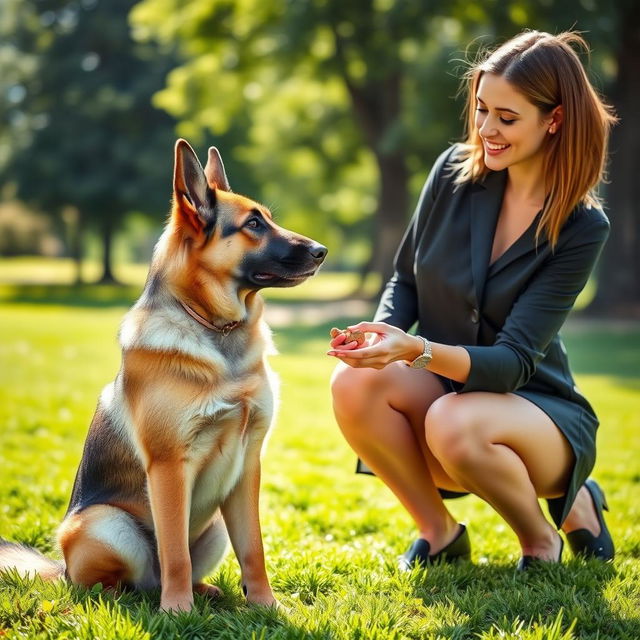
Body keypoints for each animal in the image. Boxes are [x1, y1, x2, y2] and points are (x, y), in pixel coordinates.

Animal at [0, 139, 328, 608]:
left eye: (267, 218)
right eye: (253, 224)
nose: (322, 251)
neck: (218, 333)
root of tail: (60, 568)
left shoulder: (248, 465)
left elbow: (254, 548)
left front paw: (265, 604)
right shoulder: (169, 467)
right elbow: (174, 550)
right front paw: (177, 611)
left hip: (215, 527)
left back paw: (204, 591)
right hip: (106, 524)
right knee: (107, 582)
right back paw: (132, 597)